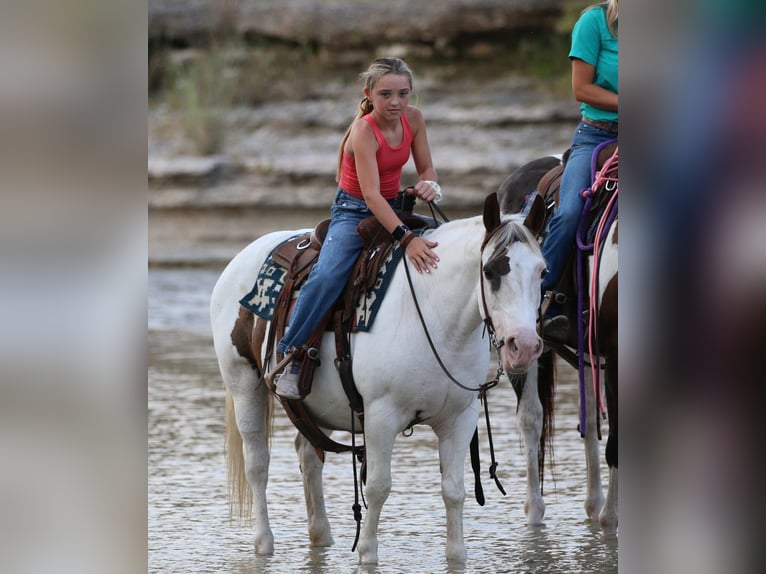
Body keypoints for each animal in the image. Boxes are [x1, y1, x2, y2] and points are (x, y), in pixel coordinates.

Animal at [210, 192, 554, 564]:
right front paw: (367, 554)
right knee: (257, 464)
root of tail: (244, 255)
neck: (435, 314)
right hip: (245, 385)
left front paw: (456, 555)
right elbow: (377, 487)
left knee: (309, 454)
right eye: (490, 271)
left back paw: (321, 536)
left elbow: (454, 490)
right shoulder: (381, 416)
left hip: (318, 405)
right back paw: (264, 542)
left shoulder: (460, 418)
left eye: (542, 271)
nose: (525, 346)